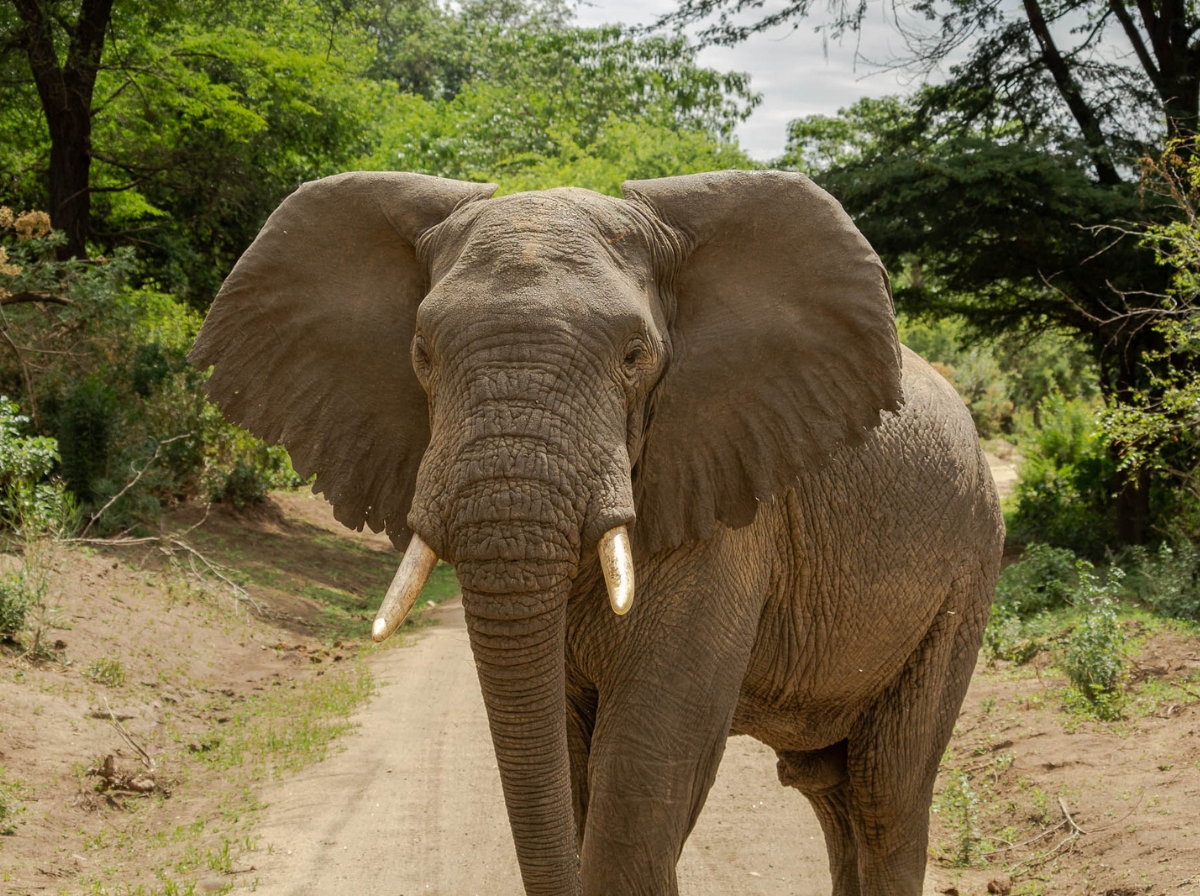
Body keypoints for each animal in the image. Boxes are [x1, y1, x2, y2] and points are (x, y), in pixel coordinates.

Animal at [189, 169, 1004, 896]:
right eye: (421, 353)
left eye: (634, 357)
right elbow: (567, 755)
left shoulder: (724, 507)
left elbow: (639, 777)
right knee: (830, 791)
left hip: (967, 569)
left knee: (886, 793)